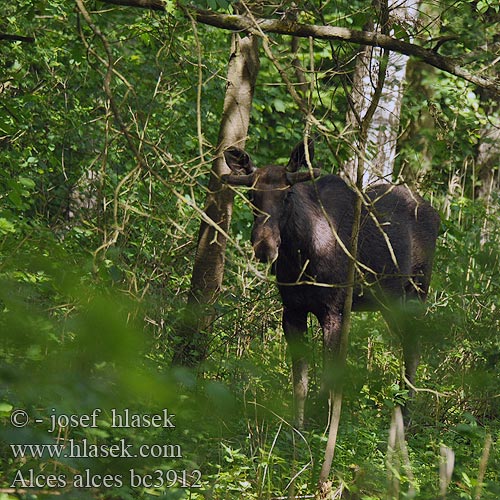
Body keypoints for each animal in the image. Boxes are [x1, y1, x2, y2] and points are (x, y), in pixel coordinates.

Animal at [222, 140, 438, 426]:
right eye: (252, 195)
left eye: (287, 194)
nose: (264, 246)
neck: (303, 258)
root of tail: (436, 214)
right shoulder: (292, 310)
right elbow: (300, 381)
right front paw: (298, 427)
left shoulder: (333, 310)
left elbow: (327, 376)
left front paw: (324, 423)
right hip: (388, 301)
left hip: (416, 289)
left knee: (413, 346)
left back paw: (406, 414)